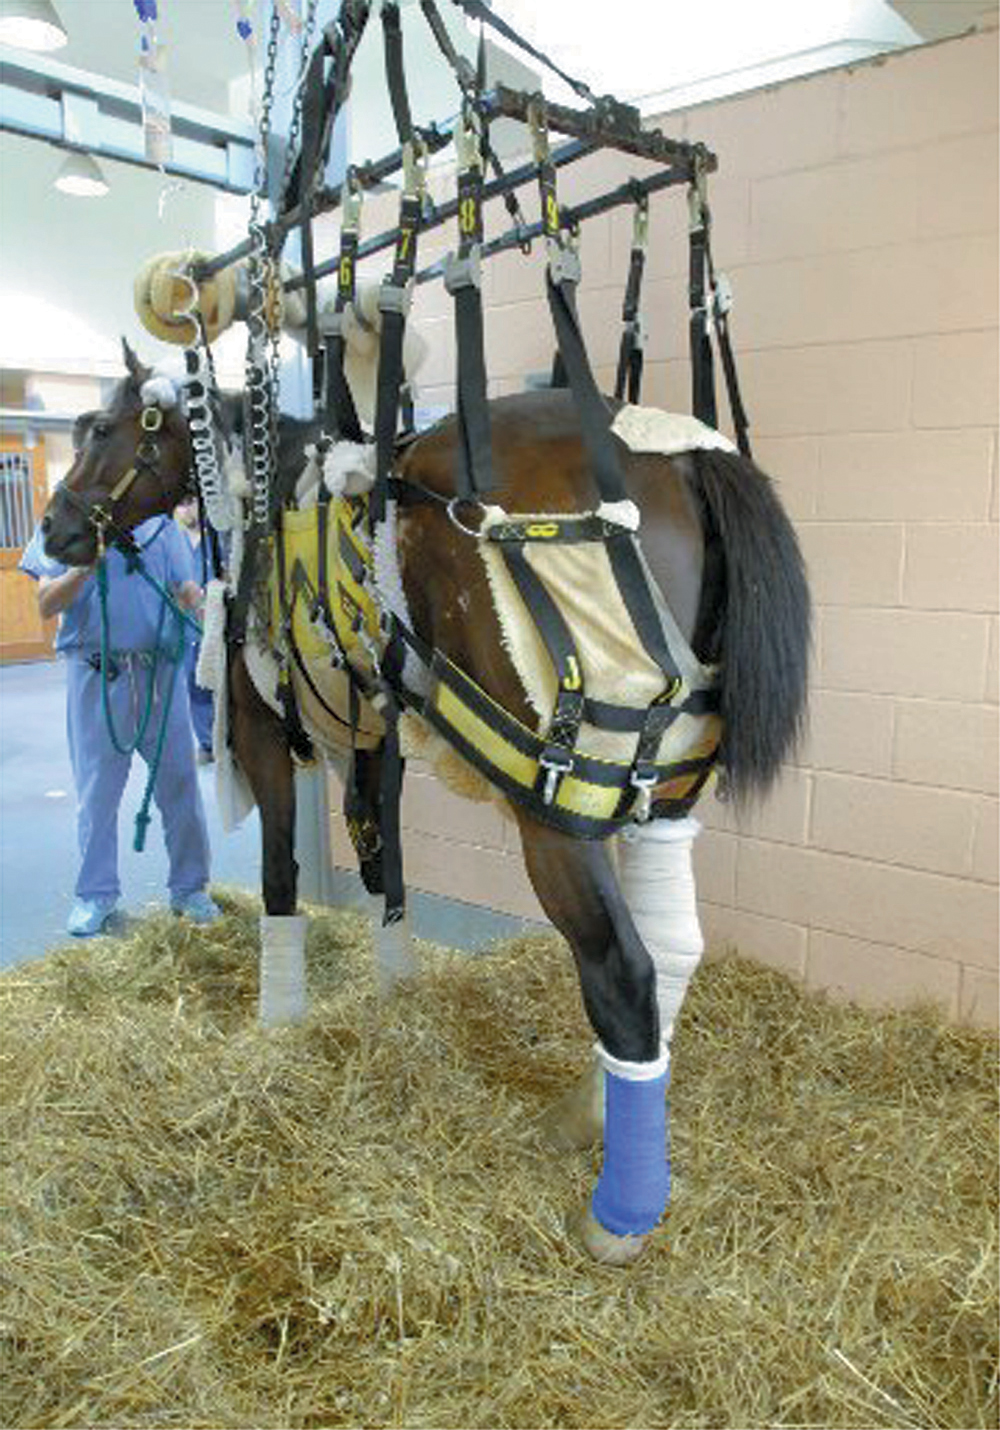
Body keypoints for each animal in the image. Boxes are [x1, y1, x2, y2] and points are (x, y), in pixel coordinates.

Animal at [41, 343, 812, 1264]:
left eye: (103, 430)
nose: (52, 531)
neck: (276, 487)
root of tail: (681, 454)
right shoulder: (380, 723)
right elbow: (387, 865)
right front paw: (394, 979)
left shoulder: (265, 725)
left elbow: (279, 874)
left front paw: (280, 1013)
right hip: (661, 796)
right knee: (671, 948)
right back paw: (589, 1113)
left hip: (558, 810)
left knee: (622, 969)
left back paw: (619, 1213)